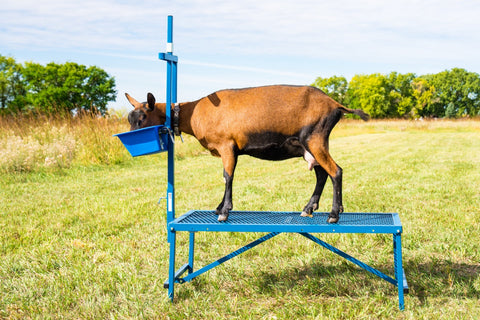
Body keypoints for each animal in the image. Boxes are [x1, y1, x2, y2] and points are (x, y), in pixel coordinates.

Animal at [125, 86, 370, 224]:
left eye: (142, 117)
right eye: (129, 118)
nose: (128, 137)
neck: (193, 113)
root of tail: (335, 103)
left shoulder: (227, 146)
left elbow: (227, 176)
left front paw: (224, 211)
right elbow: (226, 177)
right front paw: (218, 208)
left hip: (315, 138)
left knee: (335, 171)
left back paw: (334, 214)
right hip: (309, 146)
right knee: (322, 173)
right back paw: (309, 208)